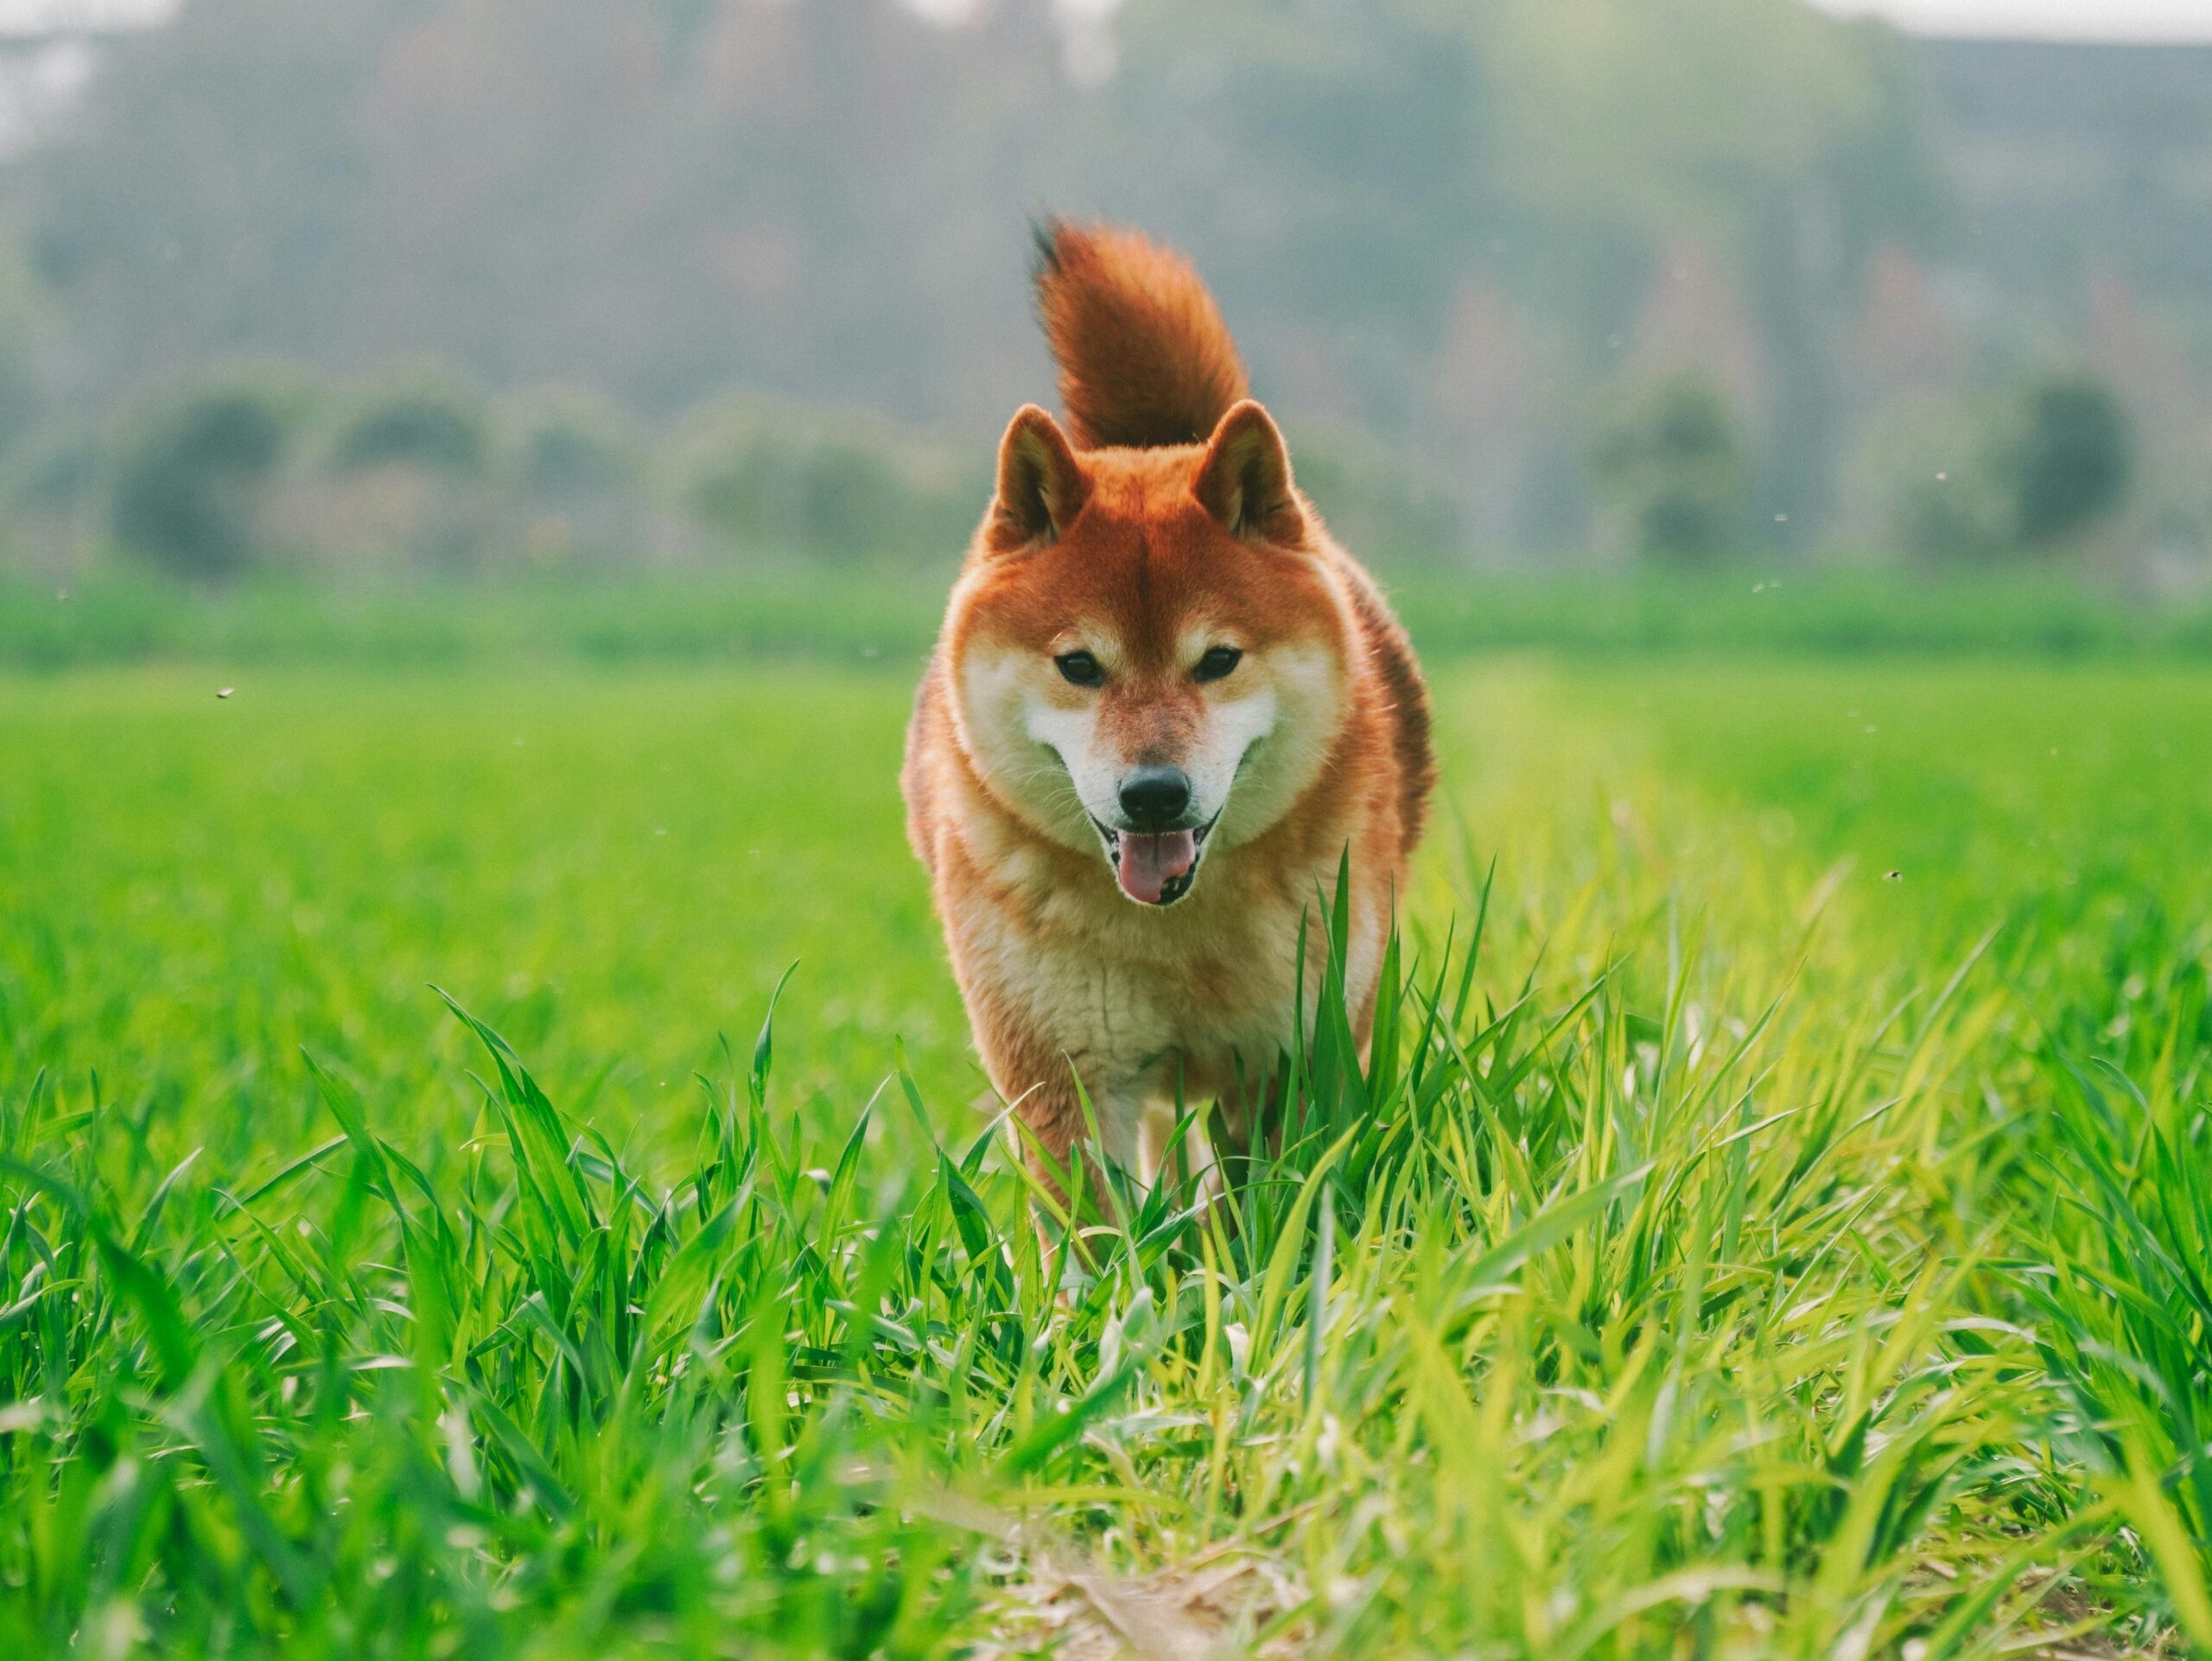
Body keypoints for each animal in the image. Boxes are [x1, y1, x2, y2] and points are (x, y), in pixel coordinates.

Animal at [902, 220, 1433, 1203]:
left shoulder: (1293, 1059)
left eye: (1217, 660)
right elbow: (1102, 1224)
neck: (1175, 936)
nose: (1154, 794)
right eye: (1079, 666)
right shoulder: (1064, 1074)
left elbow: (1263, 1204)